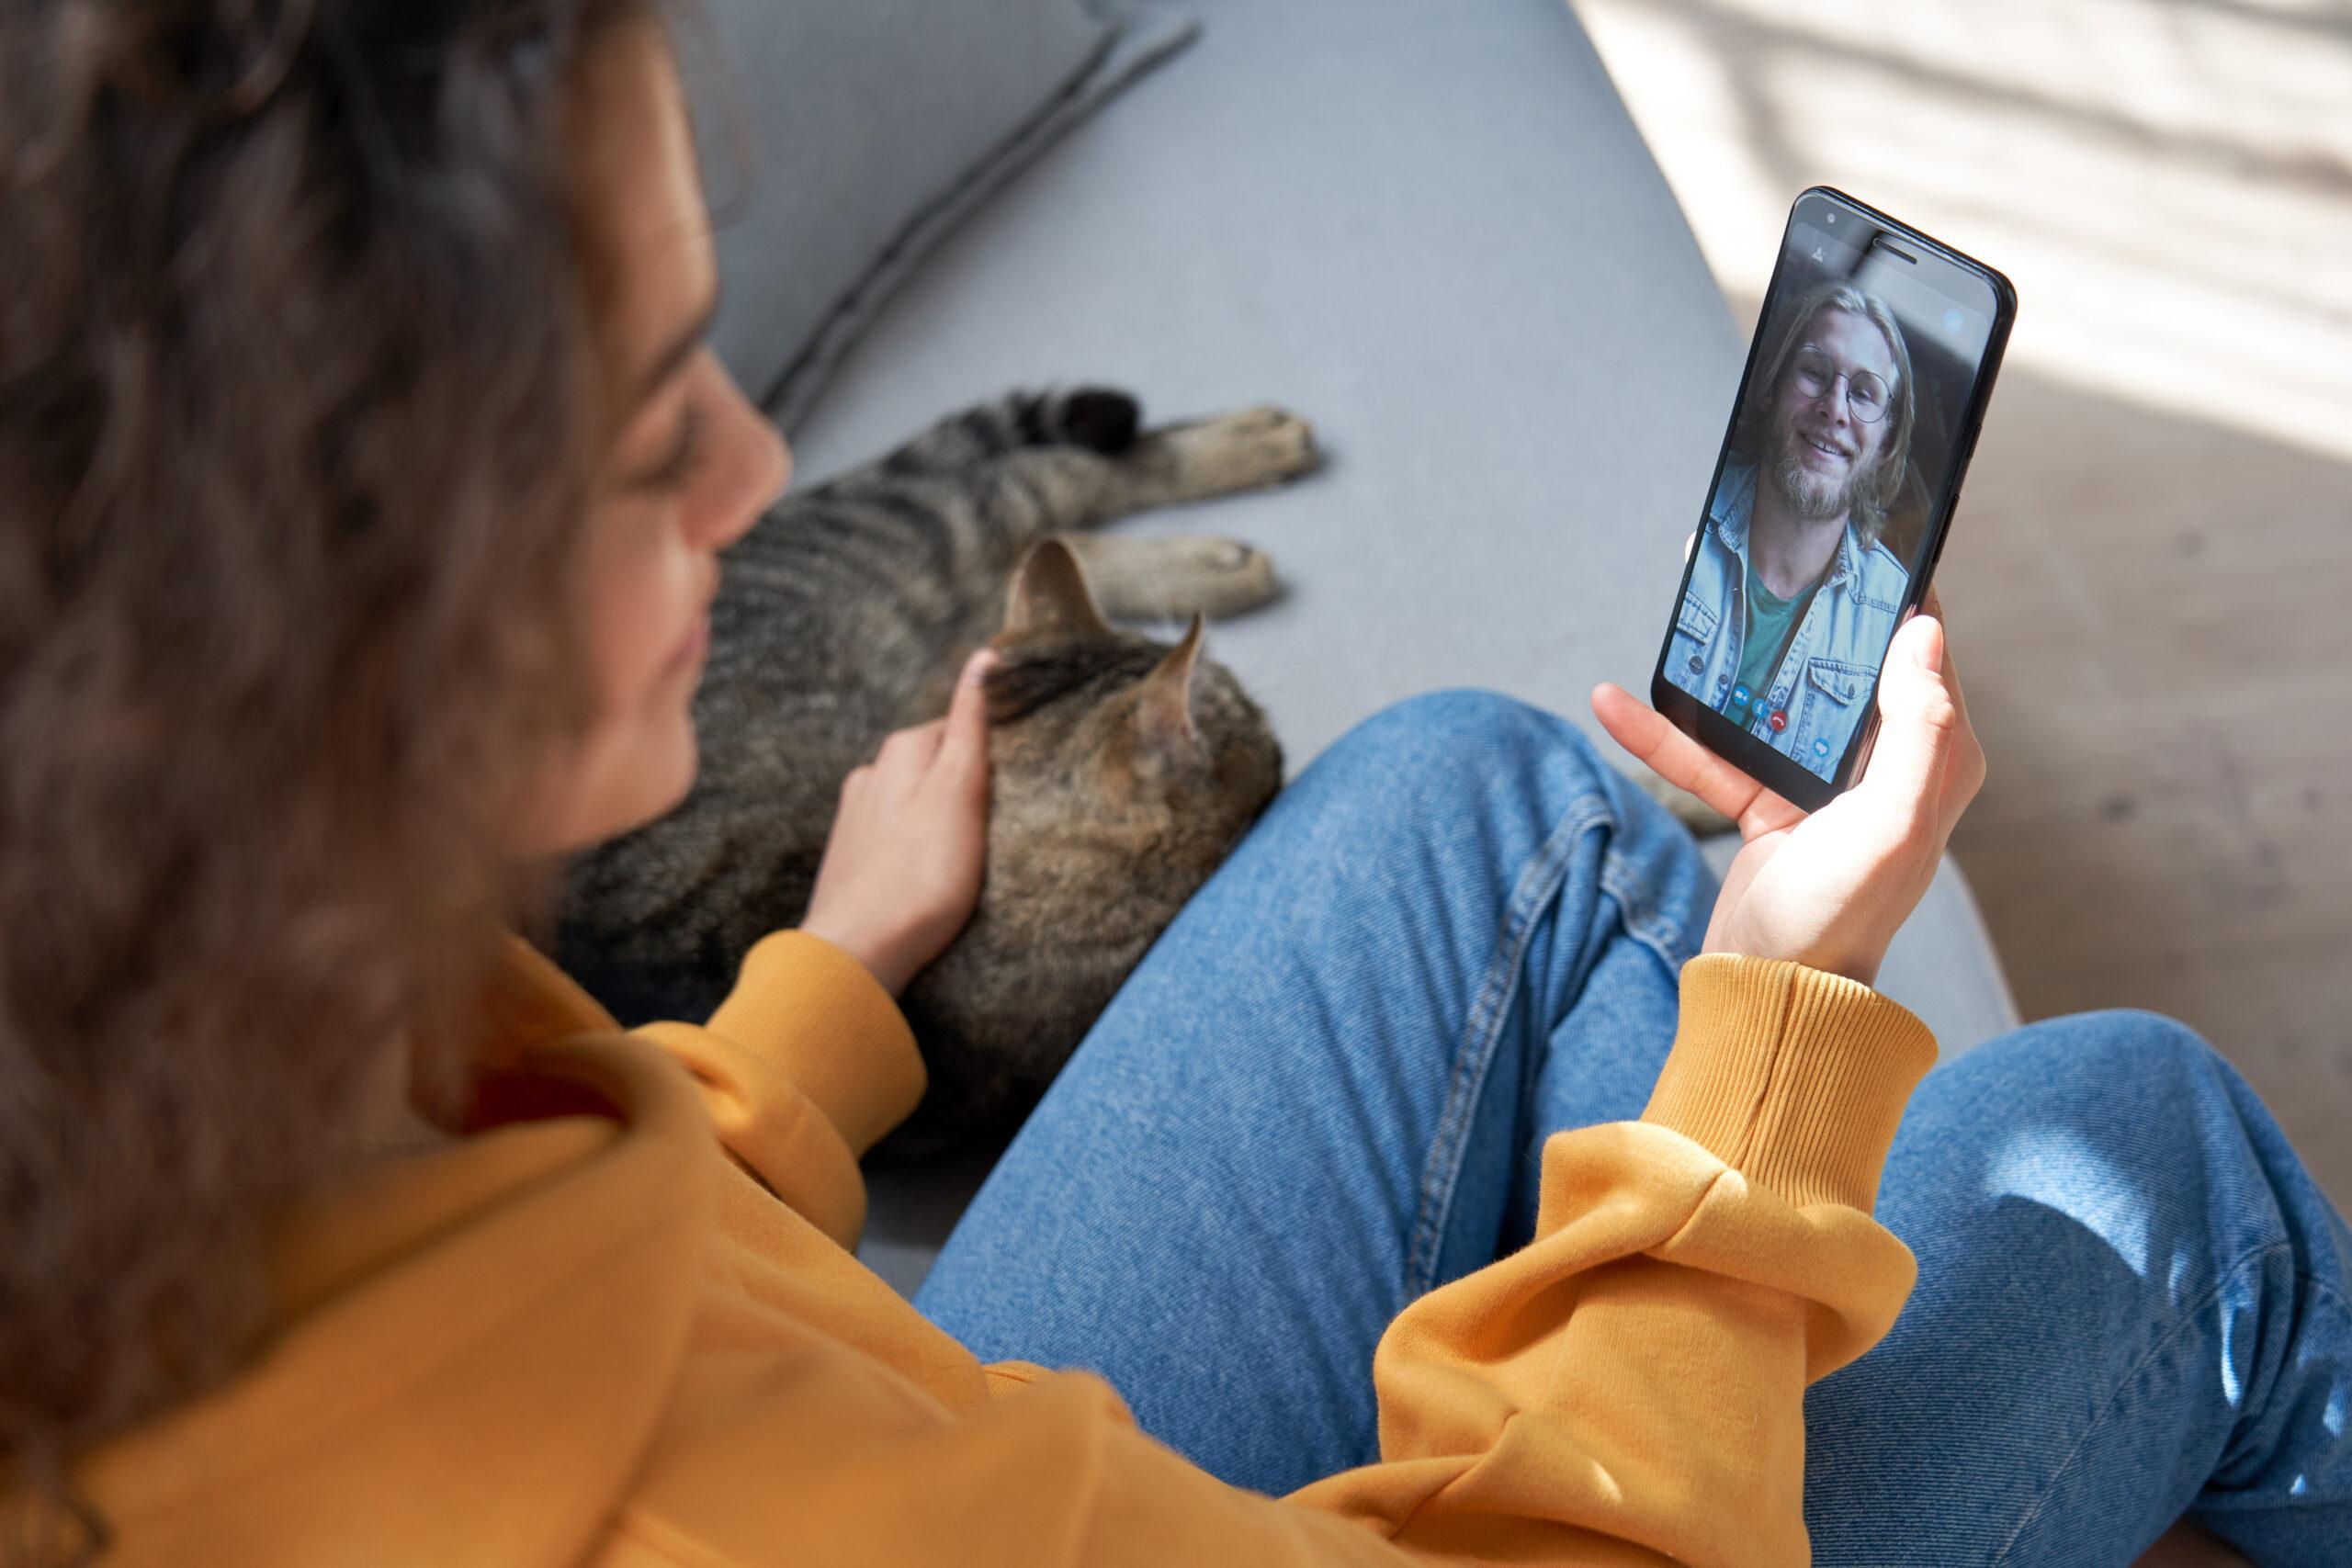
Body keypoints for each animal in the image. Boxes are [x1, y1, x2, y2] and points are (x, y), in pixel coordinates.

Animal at [557, 392, 1317, 1152]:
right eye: (1252, 719)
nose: (1279, 740)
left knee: (1042, 515)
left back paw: (1237, 501)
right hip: (929, 547)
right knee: (1046, 488)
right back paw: (1238, 504)